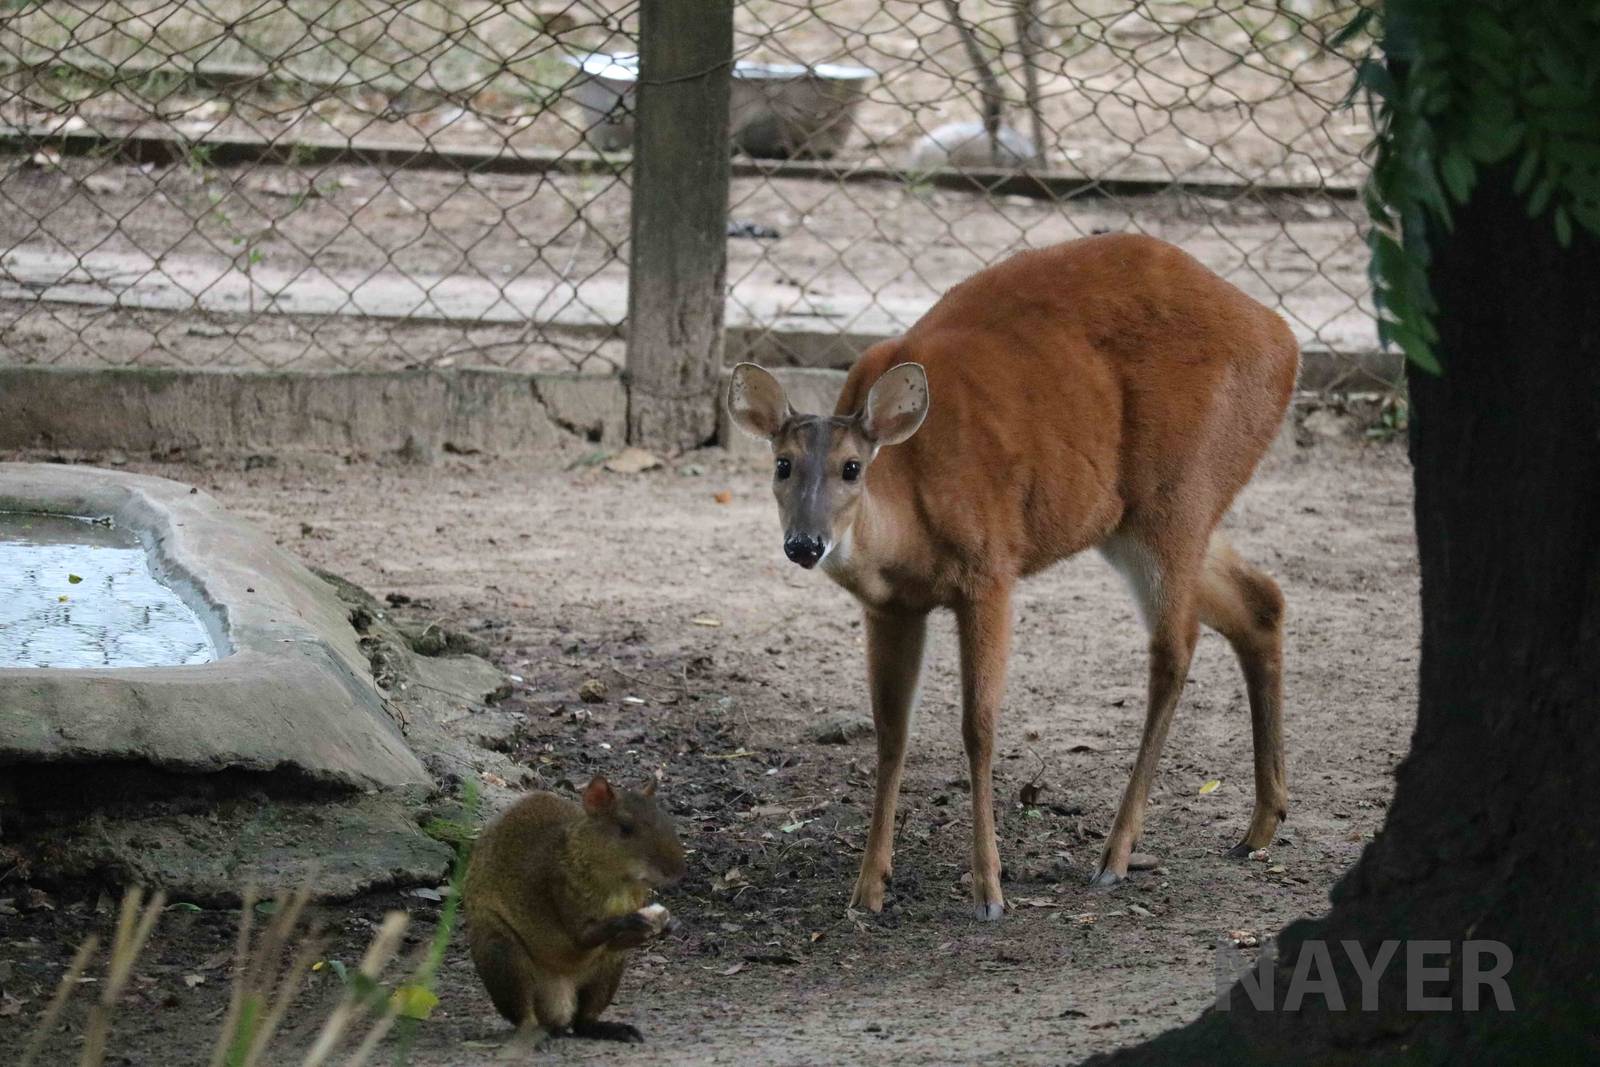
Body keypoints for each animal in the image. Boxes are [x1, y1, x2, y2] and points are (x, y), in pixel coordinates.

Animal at [727, 234, 1297, 921]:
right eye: (783, 464)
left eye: (852, 467)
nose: (805, 544)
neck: (912, 504)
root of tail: (1284, 340)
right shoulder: (892, 606)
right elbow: (890, 731)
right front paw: (867, 889)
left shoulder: (991, 571)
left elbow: (979, 727)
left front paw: (989, 891)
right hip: (1131, 520)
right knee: (1261, 600)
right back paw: (1259, 826)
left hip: (1181, 492)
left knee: (1174, 650)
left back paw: (1115, 855)